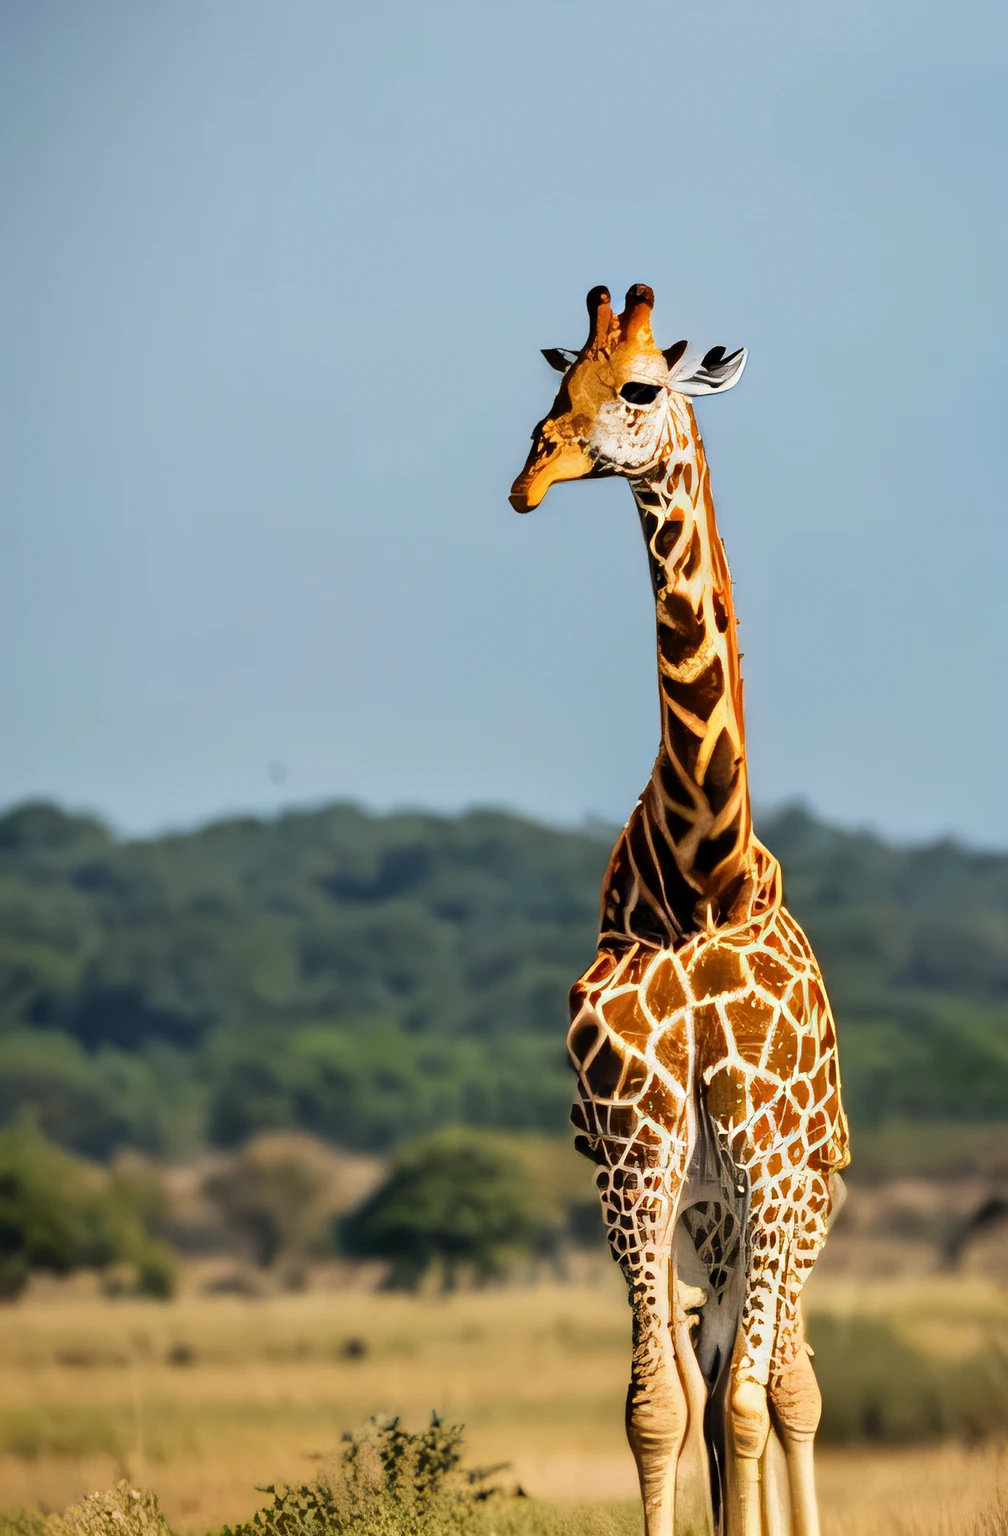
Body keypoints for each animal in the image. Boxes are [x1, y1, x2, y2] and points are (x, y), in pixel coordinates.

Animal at [507, 285, 848, 1536]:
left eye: (642, 387)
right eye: (559, 384)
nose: (533, 473)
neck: (701, 877)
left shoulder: (765, 1161)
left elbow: (750, 1402)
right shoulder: (634, 1150)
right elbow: (662, 1406)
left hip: (792, 1198)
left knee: (786, 1383)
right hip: (707, 1211)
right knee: (716, 1373)